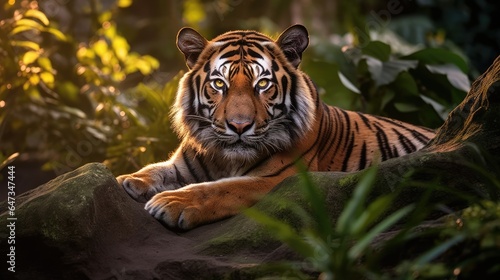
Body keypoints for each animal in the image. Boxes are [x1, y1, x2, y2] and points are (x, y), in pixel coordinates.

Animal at [116, 24, 434, 230]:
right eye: (219, 84)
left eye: (262, 84)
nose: (239, 126)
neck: (226, 159)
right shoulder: (184, 165)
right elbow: (155, 169)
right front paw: (127, 180)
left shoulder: (283, 178)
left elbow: (222, 188)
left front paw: (171, 202)